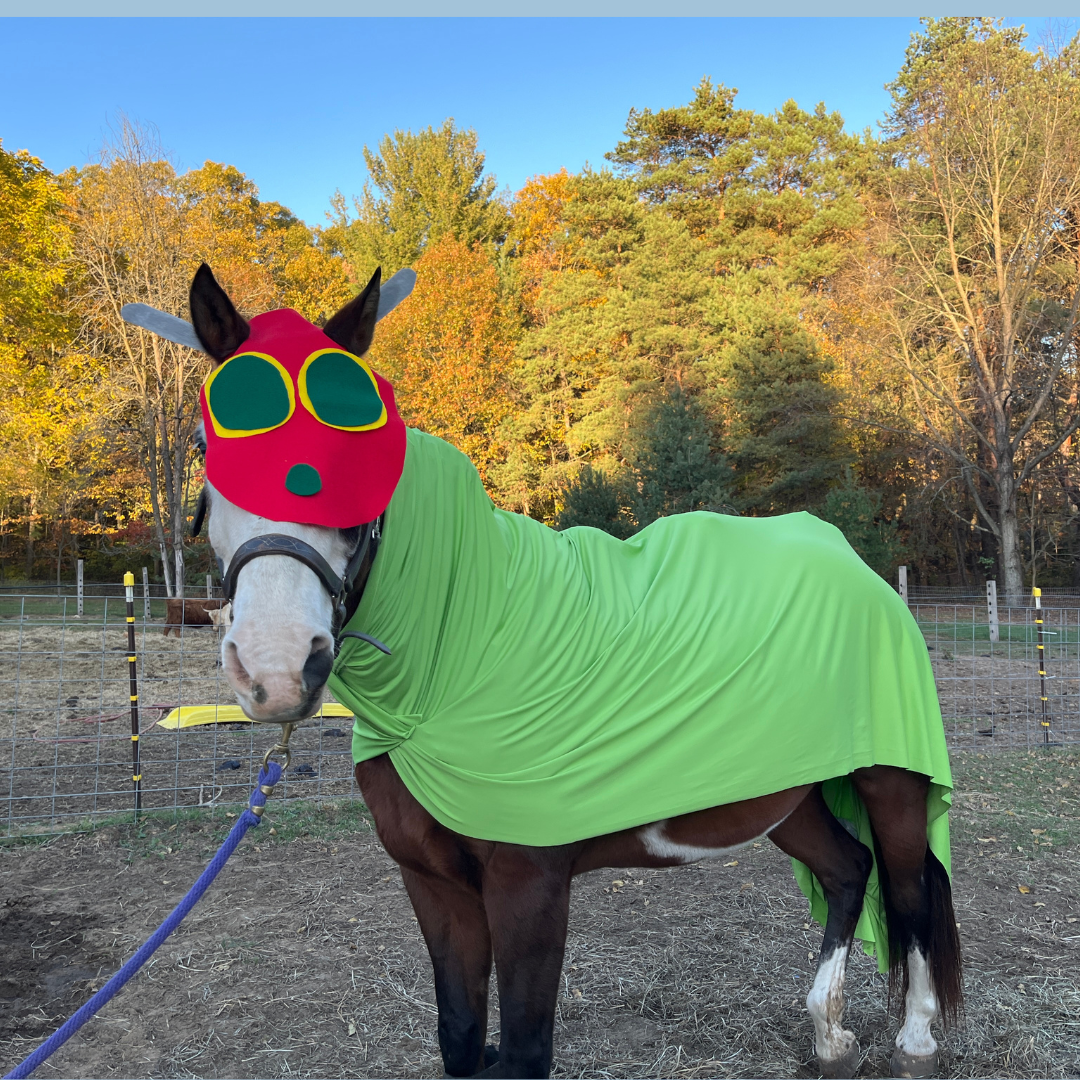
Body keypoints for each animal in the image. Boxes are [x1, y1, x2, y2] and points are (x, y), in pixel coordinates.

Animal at [179, 264, 962, 1080]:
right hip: (784, 789)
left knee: (910, 890)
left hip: (890, 781)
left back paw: (915, 1039)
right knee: (847, 871)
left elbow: (526, 1050)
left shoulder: (530, 887)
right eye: (208, 450)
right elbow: (461, 1036)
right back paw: (829, 1033)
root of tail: (847, 556)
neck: (458, 659)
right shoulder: (432, 885)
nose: (276, 664)